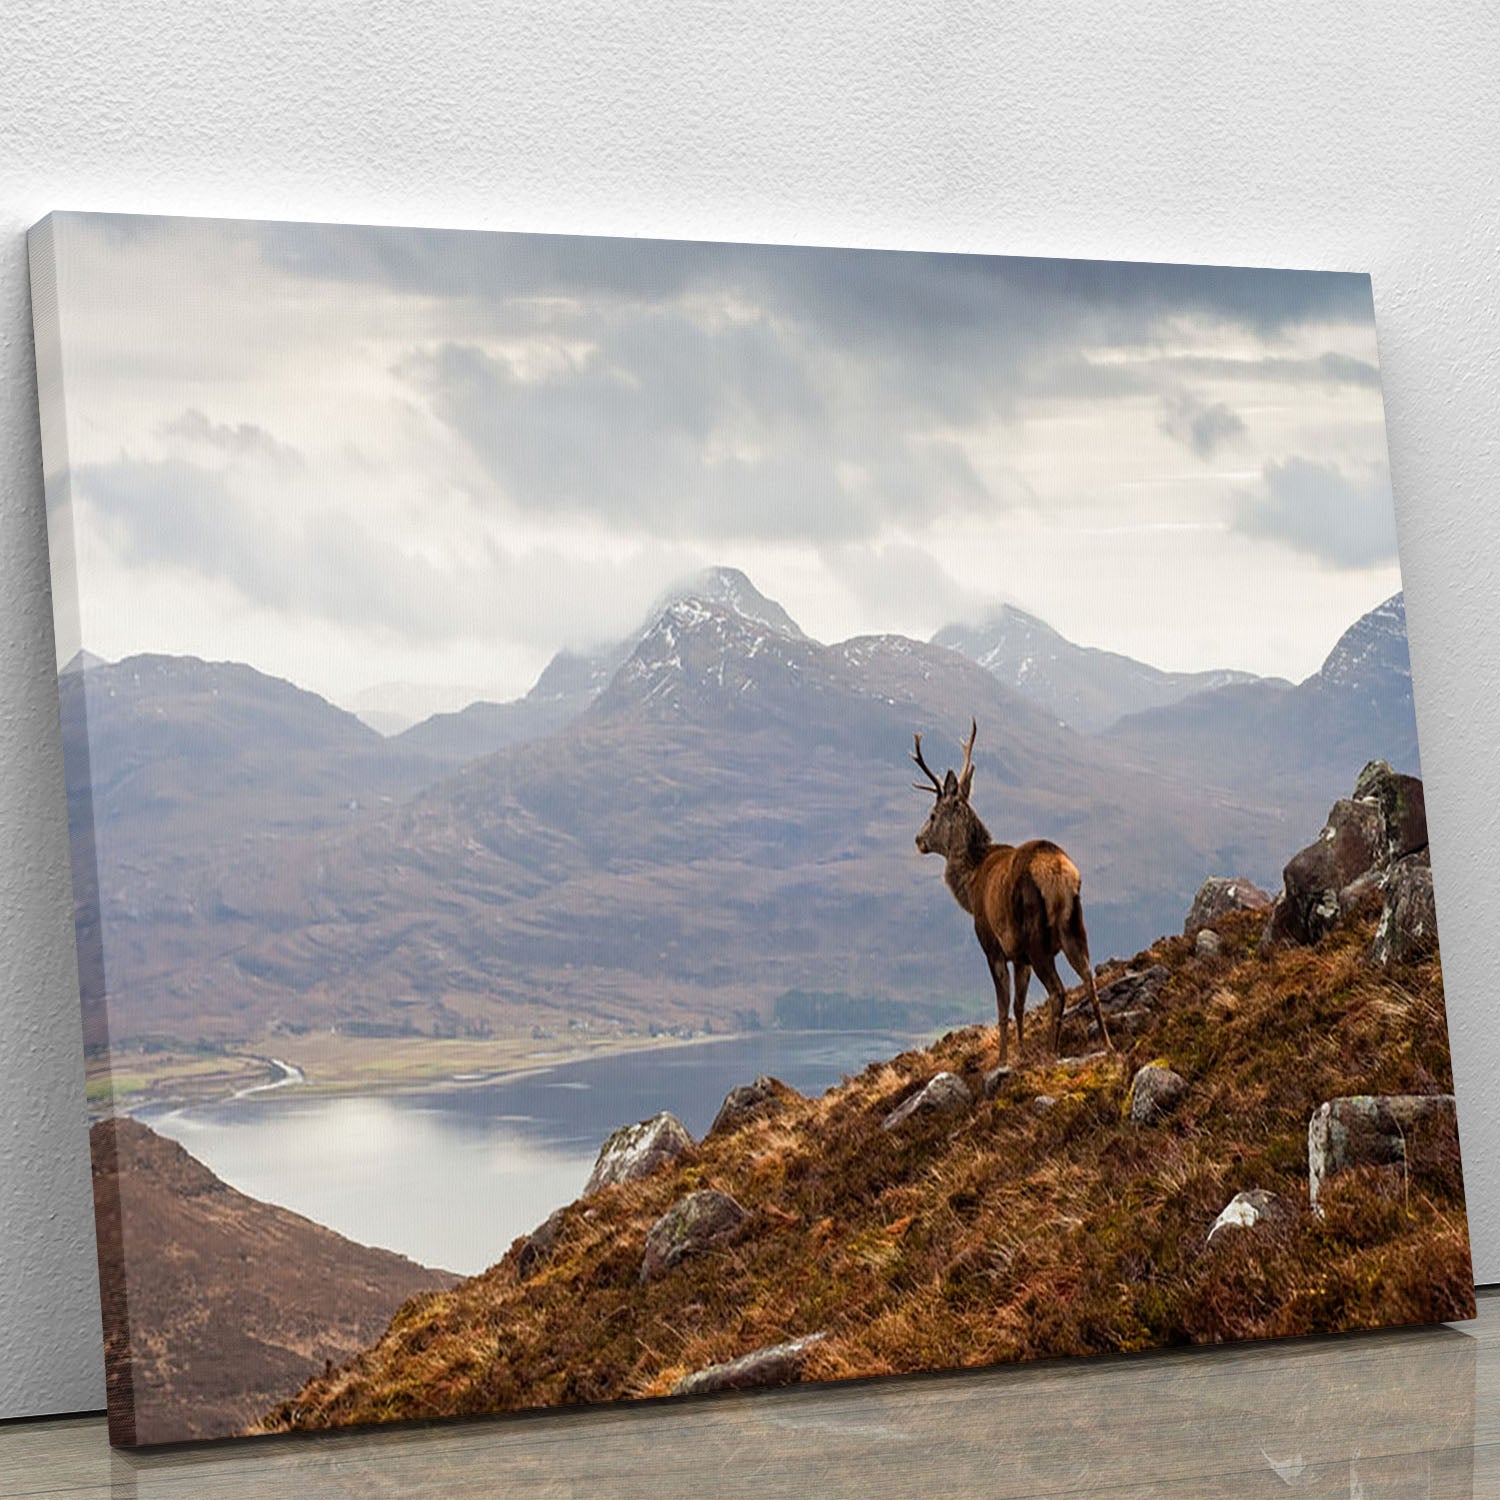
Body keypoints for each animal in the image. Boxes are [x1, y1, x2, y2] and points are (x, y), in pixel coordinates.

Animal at [912, 719, 1112, 1067]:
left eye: (933, 814)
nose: (918, 839)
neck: (970, 886)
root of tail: (1060, 873)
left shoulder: (992, 943)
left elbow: (1003, 1007)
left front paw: (1004, 1059)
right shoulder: (1020, 958)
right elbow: (1019, 1006)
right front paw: (1020, 1052)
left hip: (1036, 934)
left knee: (1058, 991)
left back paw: (1051, 1052)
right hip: (1074, 925)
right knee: (1089, 979)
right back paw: (1107, 1044)